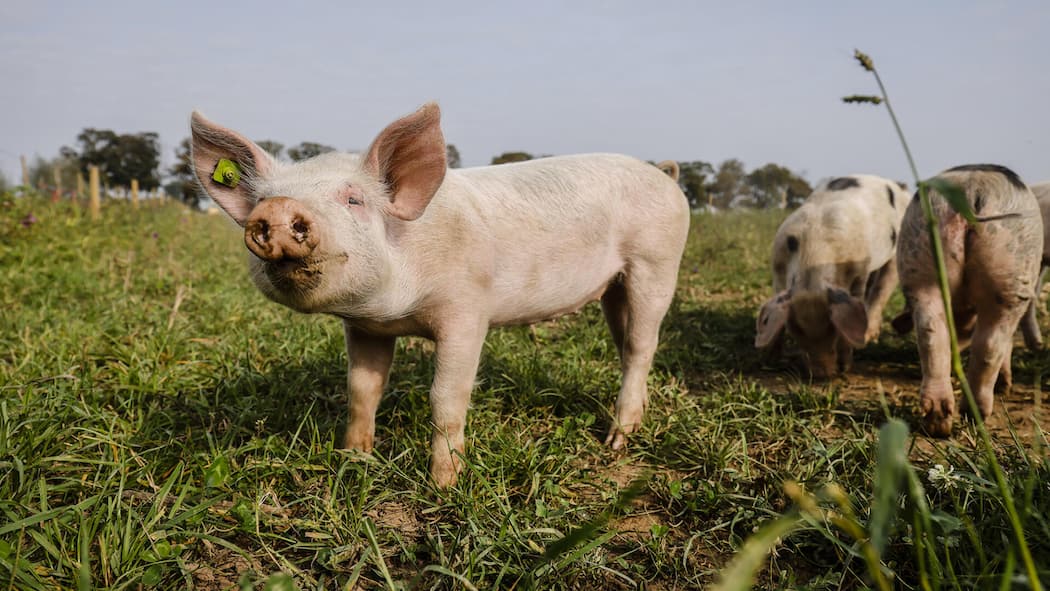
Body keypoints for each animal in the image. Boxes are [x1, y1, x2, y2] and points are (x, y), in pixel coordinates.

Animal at [189, 103, 690, 487]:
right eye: (262, 201)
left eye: (354, 200)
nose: (277, 209)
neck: (395, 309)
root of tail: (664, 175)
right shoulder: (365, 328)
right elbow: (362, 389)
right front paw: (355, 459)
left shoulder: (467, 311)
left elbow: (446, 397)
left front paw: (443, 485)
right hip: (613, 287)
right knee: (626, 345)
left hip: (656, 263)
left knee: (643, 345)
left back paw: (617, 441)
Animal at [755, 175, 909, 377]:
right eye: (795, 330)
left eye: (833, 329)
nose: (821, 374)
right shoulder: (778, 270)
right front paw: (768, 362)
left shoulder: (859, 272)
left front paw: (846, 367)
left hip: (896, 253)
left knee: (882, 289)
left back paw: (869, 337)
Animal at [896, 164, 1042, 437]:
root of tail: (973, 187)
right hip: (1013, 273)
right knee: (992, 343)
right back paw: (976, 414)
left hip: (920, 258)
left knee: (932, 334)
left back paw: (938, 423)